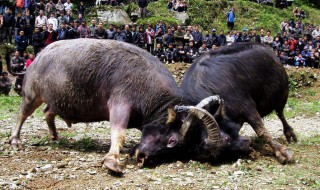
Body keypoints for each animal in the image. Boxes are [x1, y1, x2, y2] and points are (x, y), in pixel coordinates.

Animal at [136, 43, 296, 165]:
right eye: (222, 152)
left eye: (226, 139)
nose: (248, 145)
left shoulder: (247, 107)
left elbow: (261, 130)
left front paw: (283, 152)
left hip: (282, 94)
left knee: (281, 113)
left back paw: (290, 134)